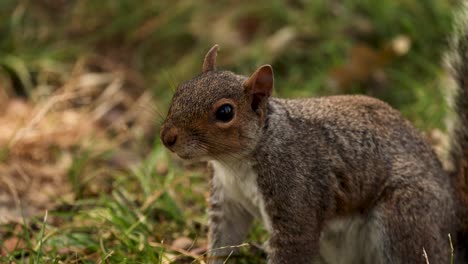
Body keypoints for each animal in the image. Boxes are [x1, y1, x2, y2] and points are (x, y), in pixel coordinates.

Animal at [160, 2, 468, 264]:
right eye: (180, 90)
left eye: (225, 112)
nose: (167, 137)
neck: (236, 162)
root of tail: (453, 222)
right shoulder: (228, 200)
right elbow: (225, 240)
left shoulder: (296, 193)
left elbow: (295, 242)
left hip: (406, 218)